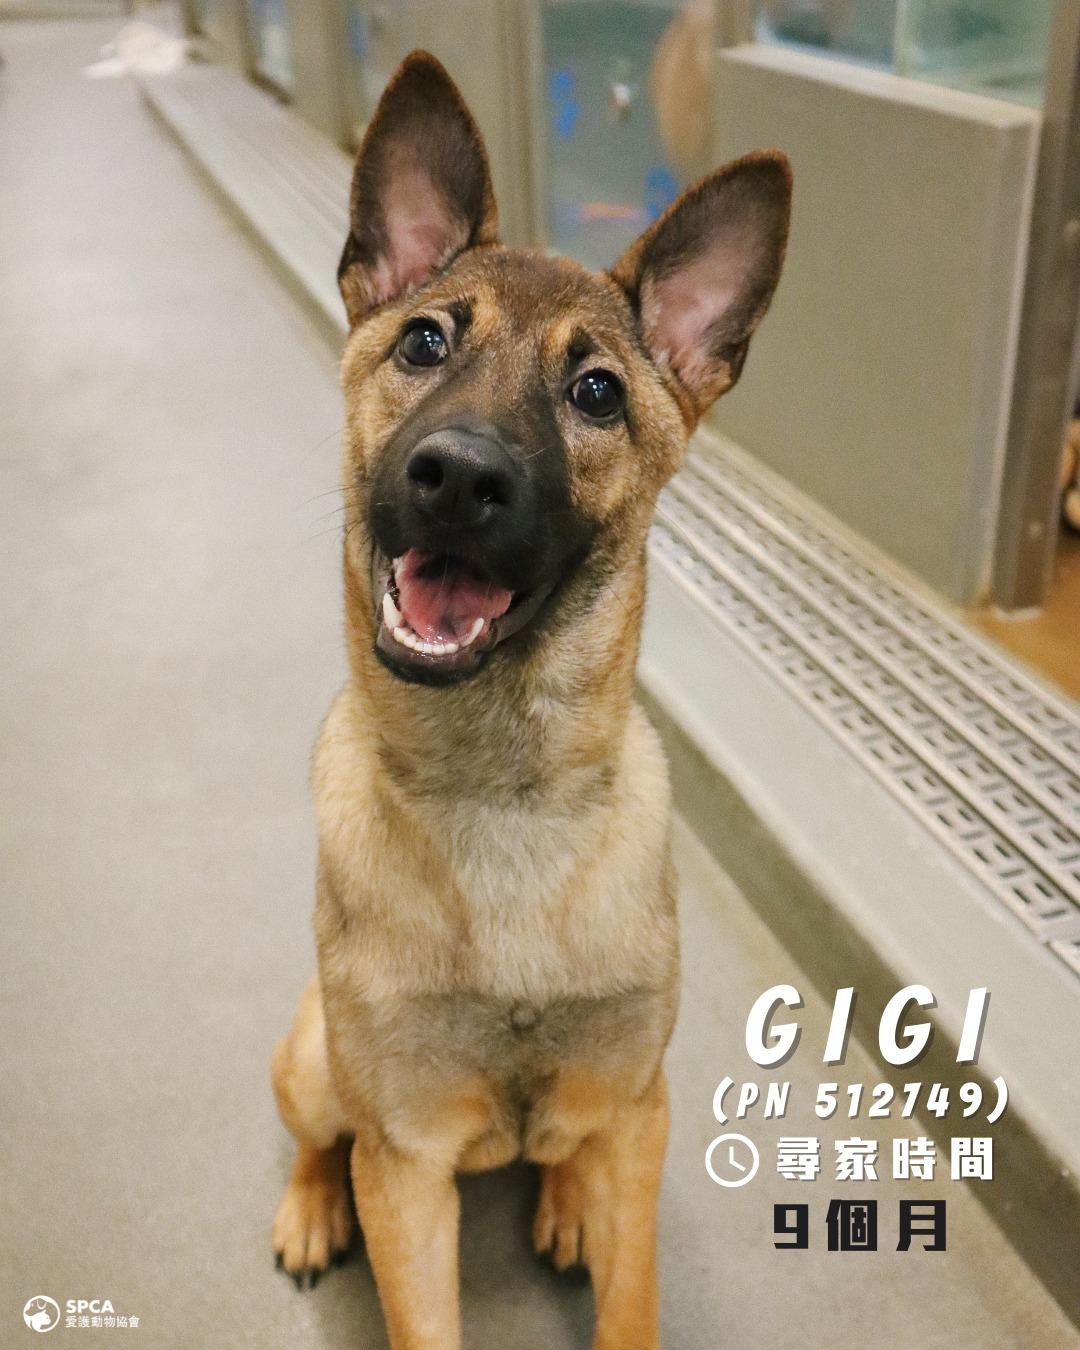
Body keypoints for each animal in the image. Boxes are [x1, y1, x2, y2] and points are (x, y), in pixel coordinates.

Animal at [270, 51, 790, 1349]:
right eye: (422, 342)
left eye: (597, 392)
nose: (457, 477)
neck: (496, 795)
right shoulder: (404, 1163)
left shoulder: (638, 1110)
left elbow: (631, 1293)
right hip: (313, 1063)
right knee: (317, 1138)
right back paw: (309, 1209)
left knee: (565, 1151)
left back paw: (559, 1201)